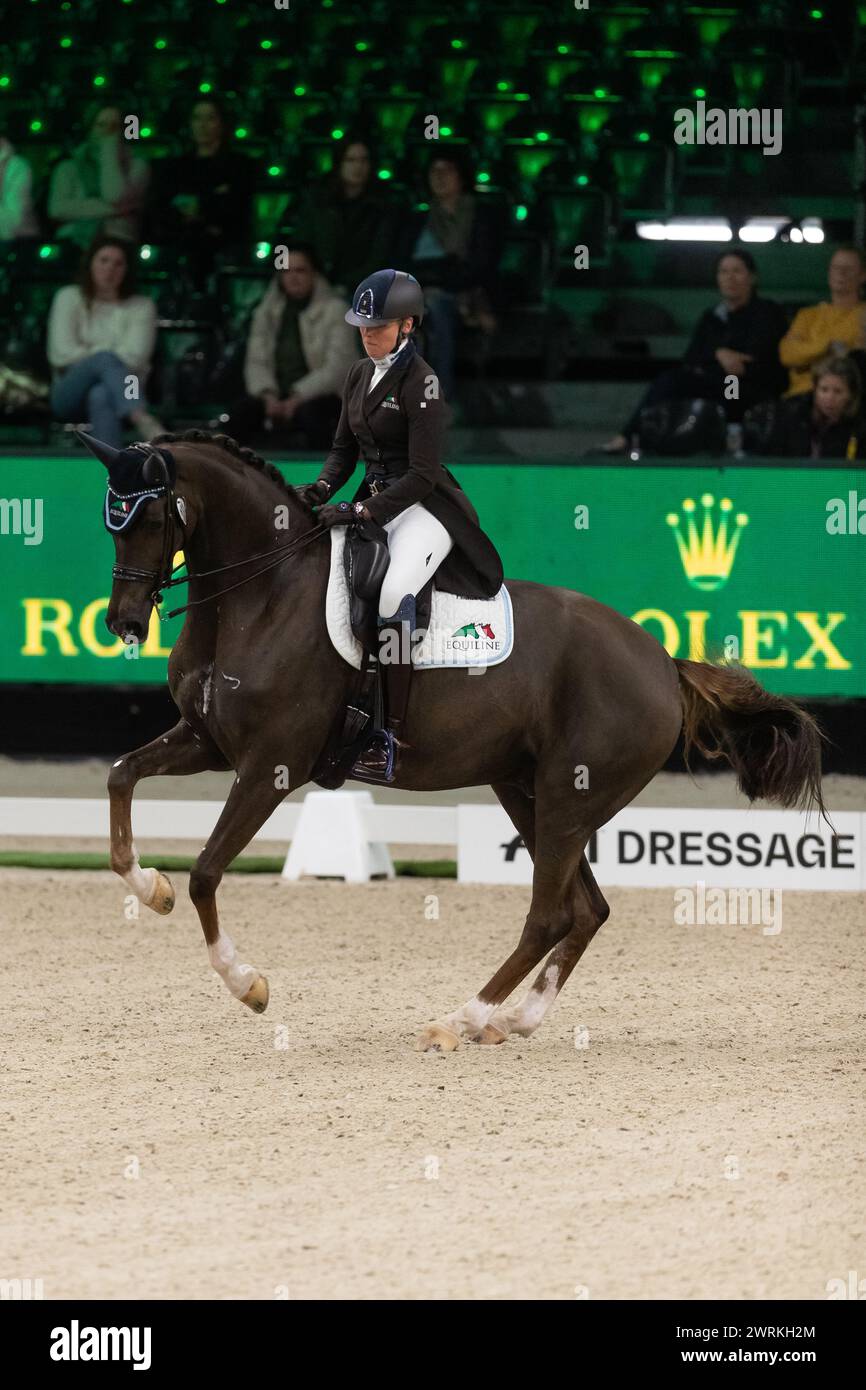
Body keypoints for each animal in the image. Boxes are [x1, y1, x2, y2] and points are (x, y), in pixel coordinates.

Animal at [86, 428, 828, 1045]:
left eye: (148, 516)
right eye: (109, 522)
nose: (124, 622)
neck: (264, 593)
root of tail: (663, 661)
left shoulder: (271, 765)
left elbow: (207, 872)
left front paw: (248, 985)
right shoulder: (207, 741)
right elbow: (121, 775)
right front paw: (148, 888)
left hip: (569, 796)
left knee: (550, 915)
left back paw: (459, 1020)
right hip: (525, 789)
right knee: (585, 911)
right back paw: (513, 1021)